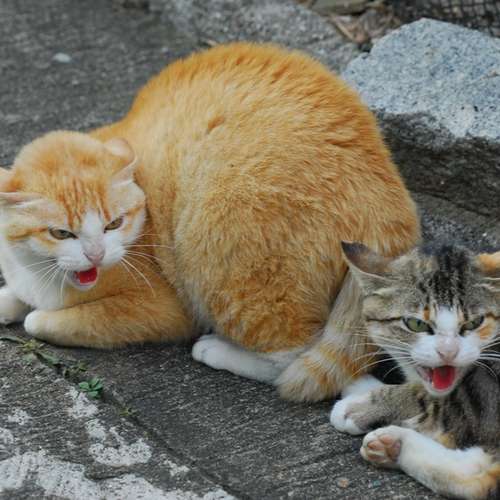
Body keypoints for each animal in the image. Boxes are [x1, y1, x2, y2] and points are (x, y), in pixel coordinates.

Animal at [0, 43, 419, 401]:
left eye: (113, 224)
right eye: (61, 233)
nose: (95, 255)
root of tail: (387, 201)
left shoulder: (164, 309)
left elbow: (40, 319)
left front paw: (37, 313)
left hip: (222, 264)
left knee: (292, 356)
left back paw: (217, 350)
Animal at [331, 242, 500, 499]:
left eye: (474, 323)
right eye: (416, 323)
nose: (448, 351)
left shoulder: (487, 396)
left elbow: (442, 401)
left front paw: (360, 405)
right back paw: (394, 446)